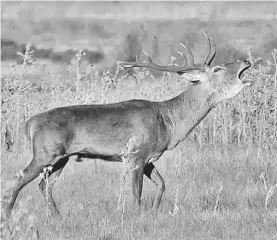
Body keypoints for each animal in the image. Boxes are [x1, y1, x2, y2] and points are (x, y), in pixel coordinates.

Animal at [1, 32, 252, 220]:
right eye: (218, 69)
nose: (246, 61)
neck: (169, 122)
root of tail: (29, 123)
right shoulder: (135, 153)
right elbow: (136, 193)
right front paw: (136, 215)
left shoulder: (149, 157)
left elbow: (162, 184)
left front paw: (154, 210)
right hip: (45, 152)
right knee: (18, 180)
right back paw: (8, 216)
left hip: (61, 157)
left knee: (45, 186)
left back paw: (58, 217)